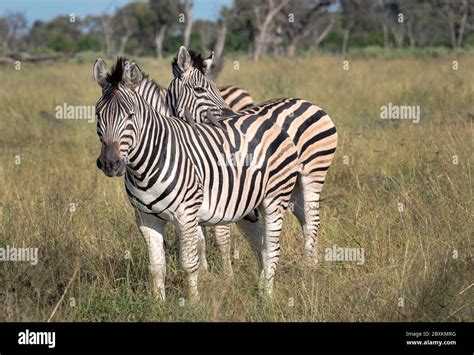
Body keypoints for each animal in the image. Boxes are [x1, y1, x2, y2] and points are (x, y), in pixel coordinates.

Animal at [93, 57, 300, 300]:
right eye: (98, 115)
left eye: (130, 116)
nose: (110, 163)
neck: (145, 164)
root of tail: (267, 121)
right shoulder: (146, 219)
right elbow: (157, 266)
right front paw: (158, 303)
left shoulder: (187, 215)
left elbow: (189, 263)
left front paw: (193, 301)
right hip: (249, 206)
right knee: (261, 246)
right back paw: (259, 290)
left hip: (275, 198)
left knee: (273, 249)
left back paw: (266, 297)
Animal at [166, 46, 336, 276]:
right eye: (199, 89)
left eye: (218, 90)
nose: (228, 116)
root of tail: (308, 102)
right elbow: (199, 240)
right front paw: (205, 274)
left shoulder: (223, 192)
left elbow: (221, 237)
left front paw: (227, 278)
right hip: (289, 183)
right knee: (304, 217)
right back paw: (312, 263)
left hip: (313, 171)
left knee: (312, 220)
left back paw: (310, 270)